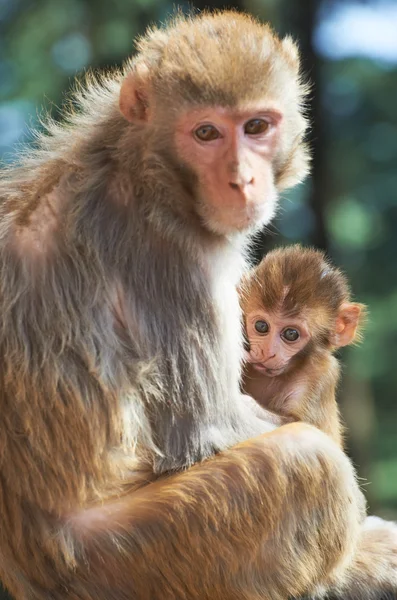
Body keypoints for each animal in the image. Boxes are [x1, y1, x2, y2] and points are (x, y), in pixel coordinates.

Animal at [238, 244, 366, 446]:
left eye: (291, 334)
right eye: (261, 326)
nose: (267, 352)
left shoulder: (322, 373)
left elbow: (300, 426)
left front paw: (247, 404)